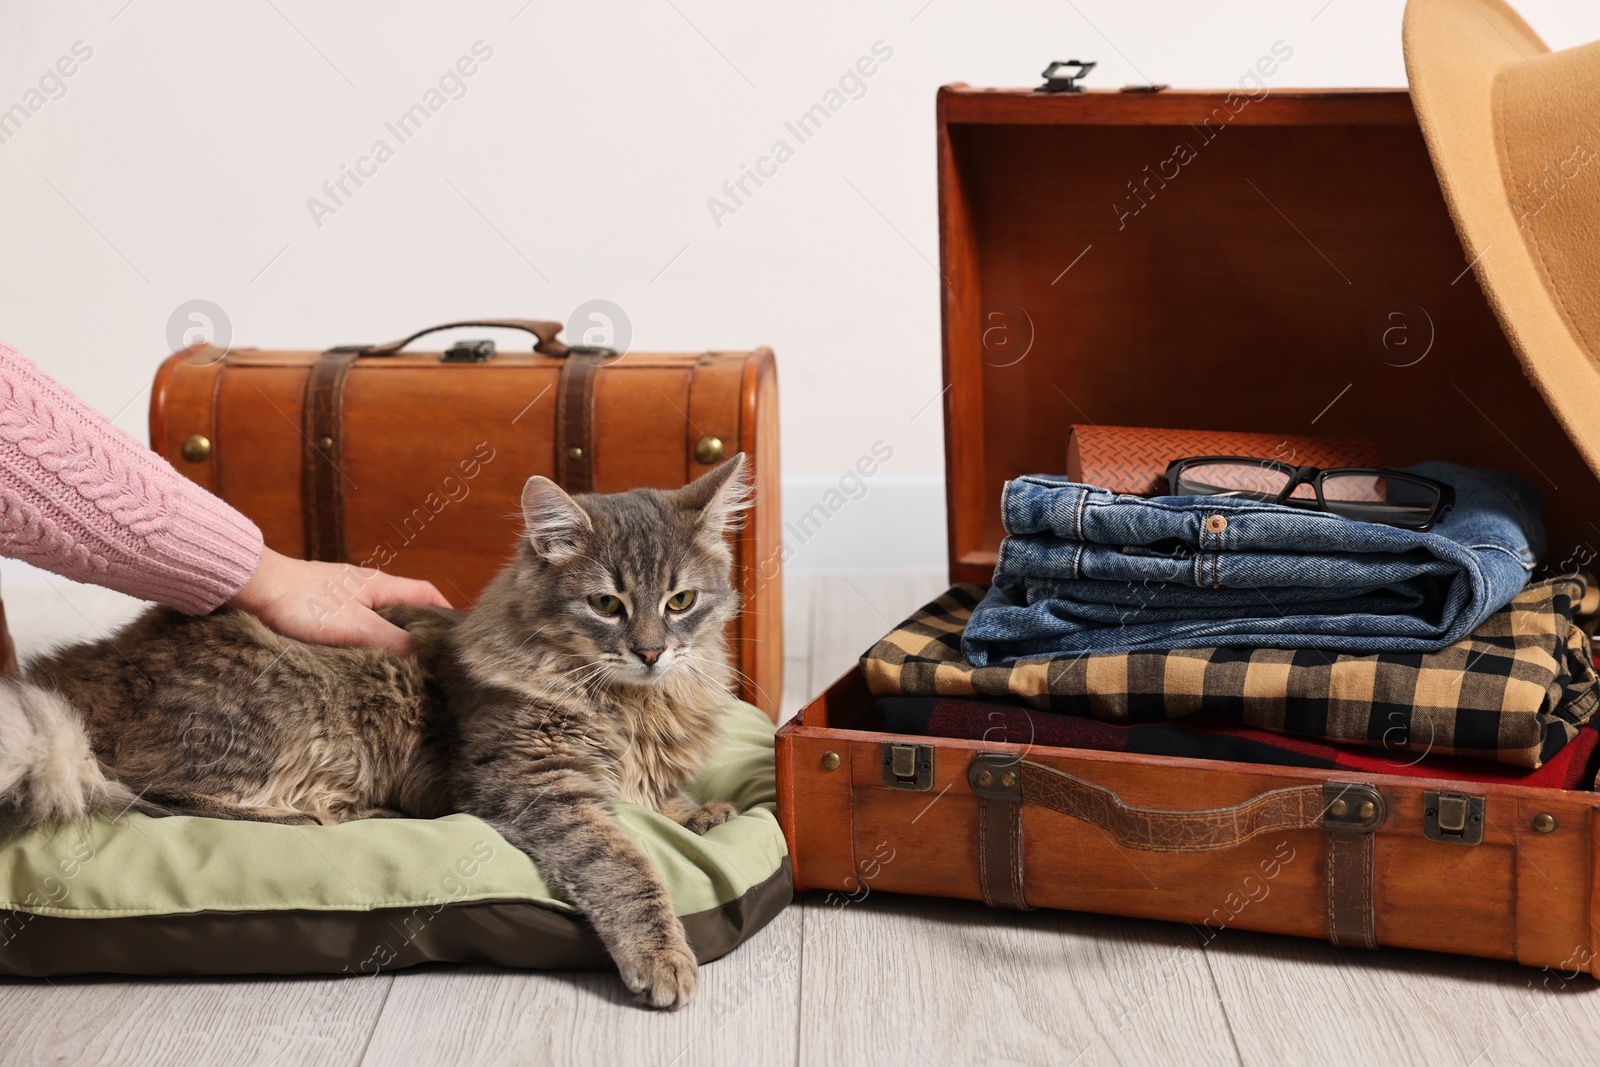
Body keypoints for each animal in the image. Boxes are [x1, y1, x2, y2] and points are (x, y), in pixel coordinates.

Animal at [0, 454, 748, 1004]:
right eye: (606, 604)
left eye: (680, 601)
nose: (651, 651)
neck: (636, 704)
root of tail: (89, 667)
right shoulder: (537, 783)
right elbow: (625, 864)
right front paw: (663, 956)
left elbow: (663, 801)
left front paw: (701, 811)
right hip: (287, 717)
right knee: (151, 795)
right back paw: (338, 814)